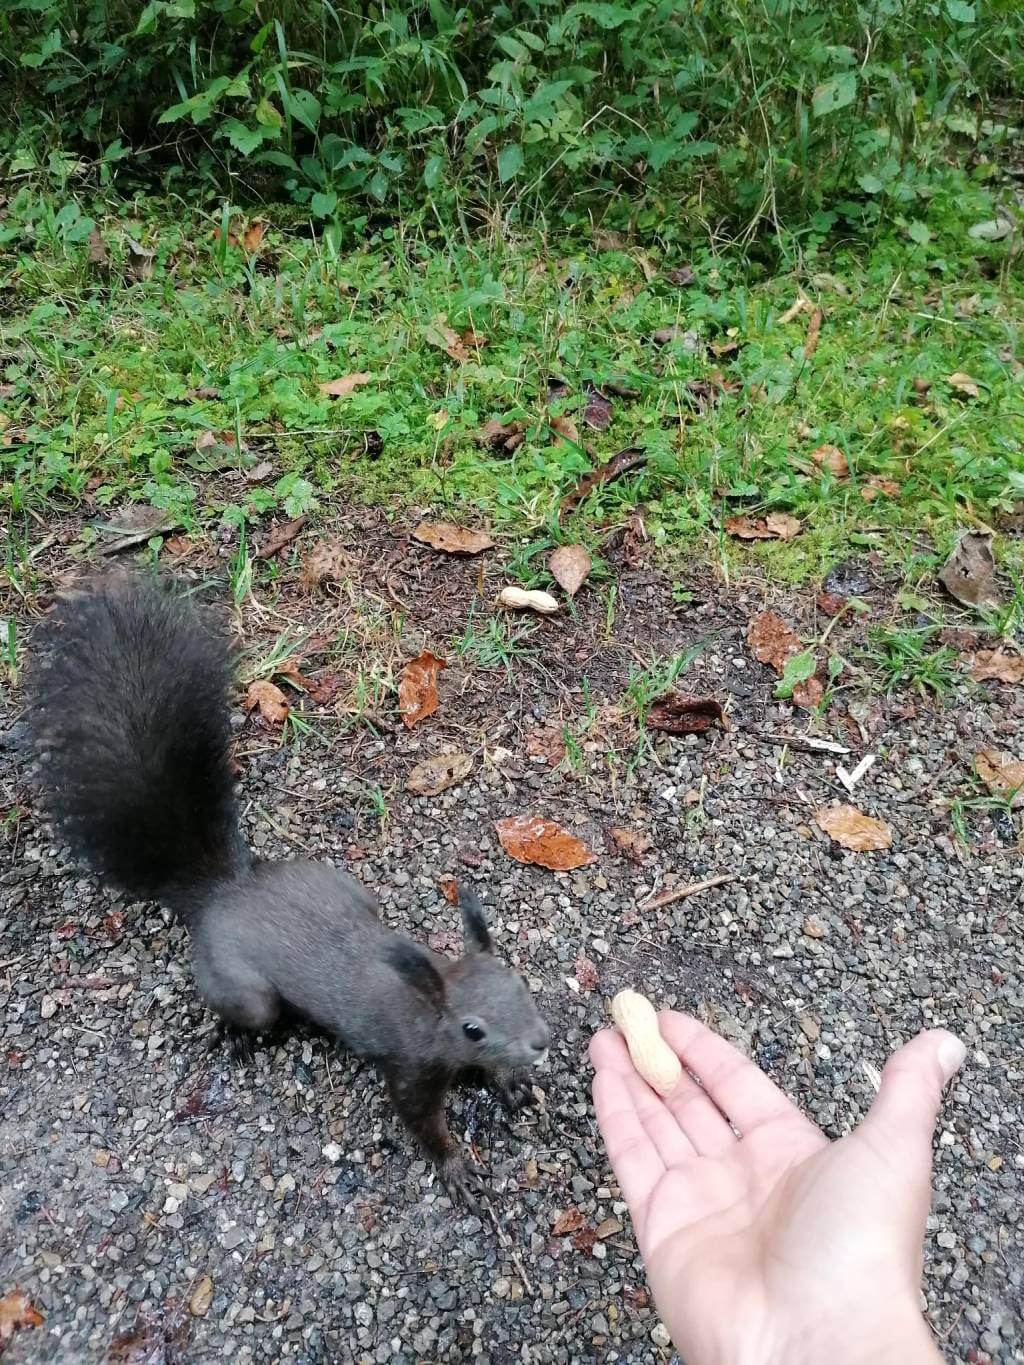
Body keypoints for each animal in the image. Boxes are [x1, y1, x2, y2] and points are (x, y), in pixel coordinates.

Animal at [27, 576, 548, 1206]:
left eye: (519, 983)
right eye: (472, 1028)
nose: (541, 1041)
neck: (428, 1006)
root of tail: (220, 892)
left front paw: (509, 1081)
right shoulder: (409, 1068)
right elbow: (421, 1122)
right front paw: (456, 1167)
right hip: (248, 991)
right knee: (242, 1009)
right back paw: (234, 1035)